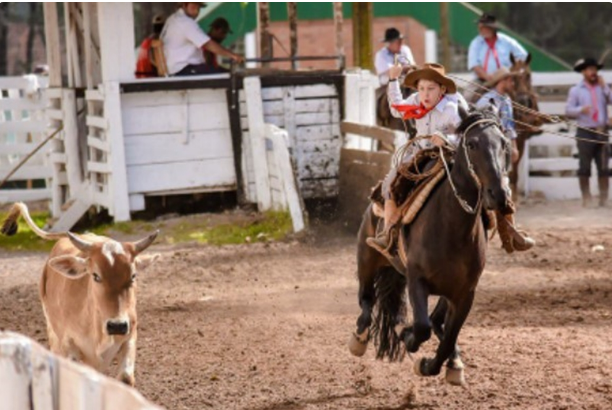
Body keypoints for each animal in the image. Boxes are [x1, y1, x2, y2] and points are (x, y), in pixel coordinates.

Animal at [350, 105, 512, 384]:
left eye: (503, 143)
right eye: (471, 143)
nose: (499, 195)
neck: (451, 229)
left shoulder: (465, 293)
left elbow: (446, 337)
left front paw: (432, 365)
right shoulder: (417, 280)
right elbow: (421, 327)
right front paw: (407, 335)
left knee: (437, 321)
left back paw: (454, 361)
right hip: (367, 258)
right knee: (366, 300)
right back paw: (359, 339)